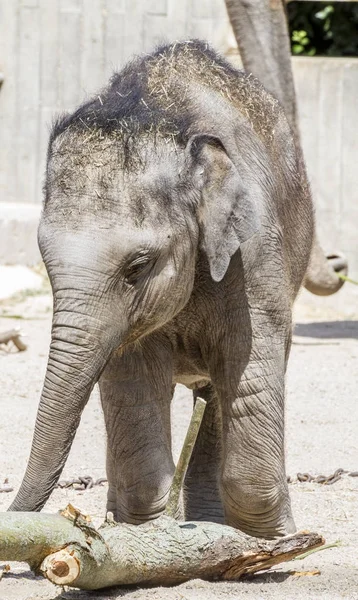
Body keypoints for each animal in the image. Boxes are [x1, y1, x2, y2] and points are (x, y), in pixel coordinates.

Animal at [10, 42, 314, 540]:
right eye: (46, 262)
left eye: (137, 266)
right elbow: (132, 383)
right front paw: (145, 534)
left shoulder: (253, 251)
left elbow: (247, 369)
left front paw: (282, 543)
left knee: (216, 392)